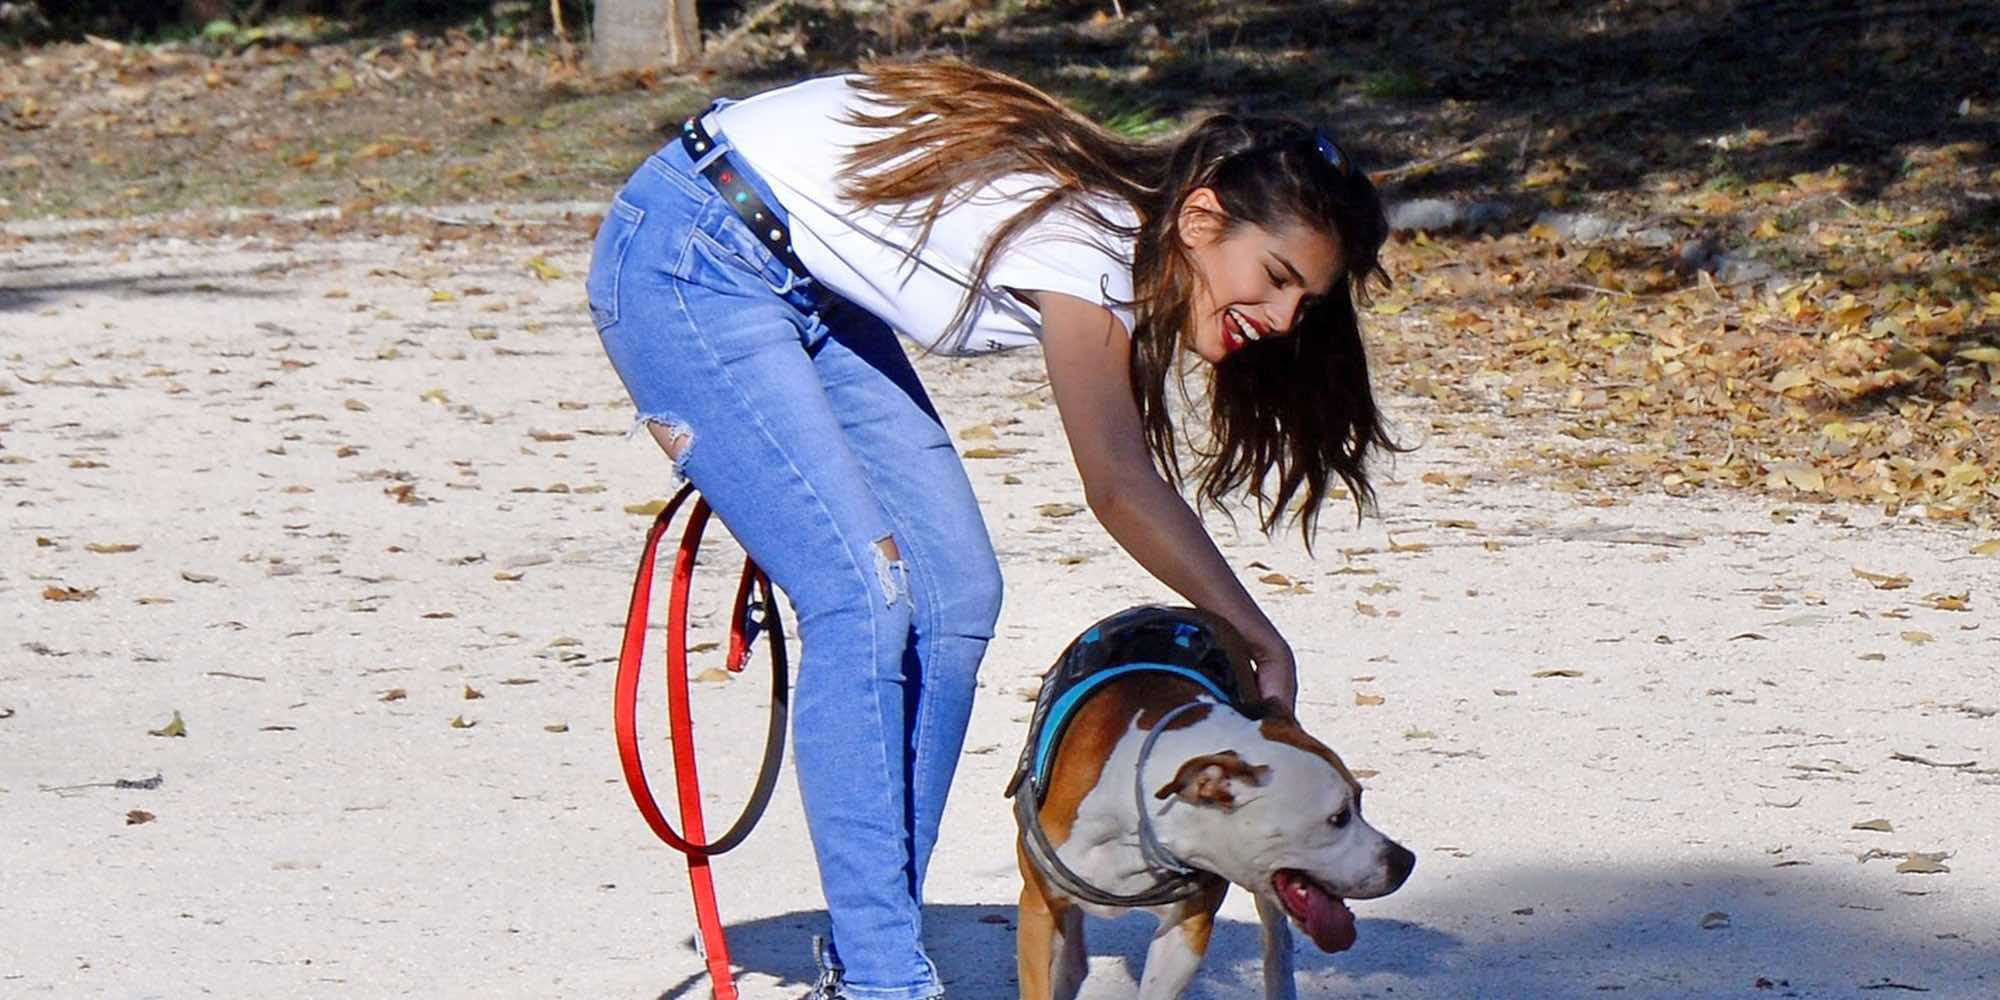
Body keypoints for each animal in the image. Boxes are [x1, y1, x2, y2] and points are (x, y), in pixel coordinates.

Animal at [1016, 608, 1424, 1000]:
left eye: (1360, 800)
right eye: (1339, 817)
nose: (1405, 862)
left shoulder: (1186, 931)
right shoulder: (1039, 910)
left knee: (1278, 944)